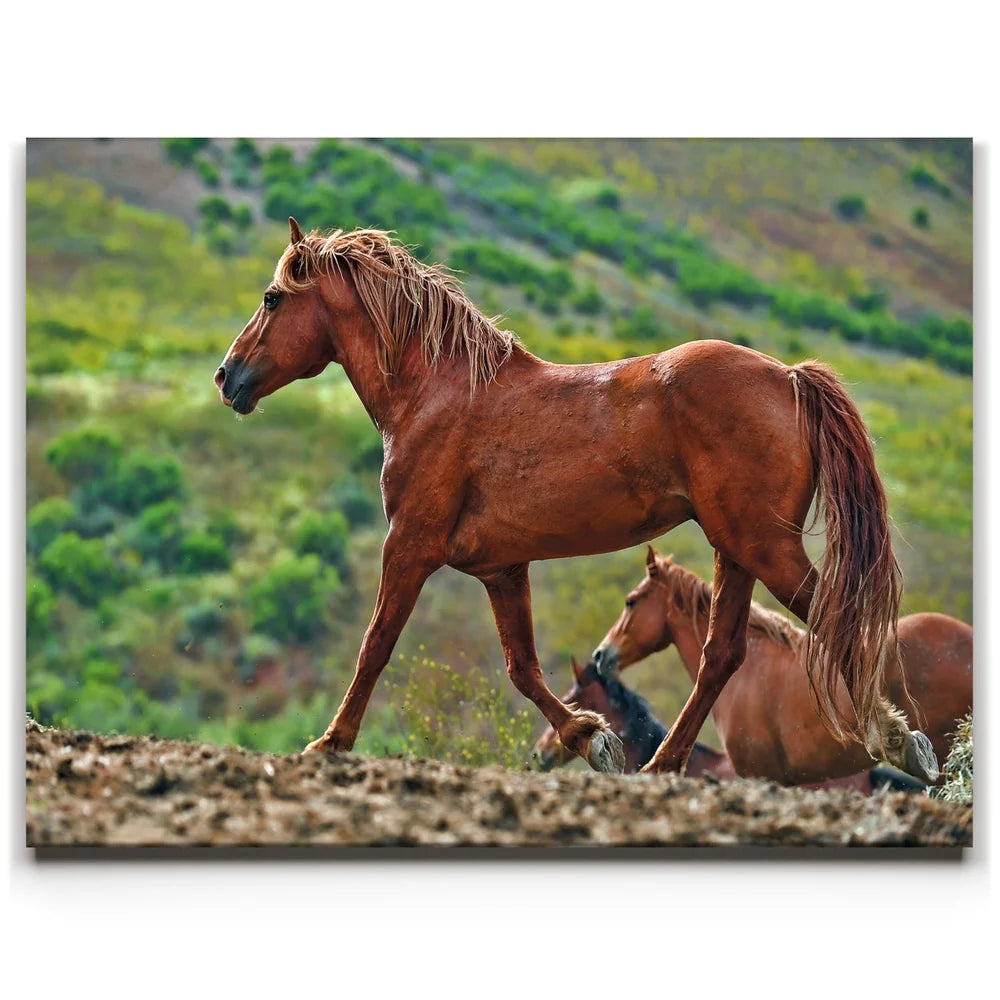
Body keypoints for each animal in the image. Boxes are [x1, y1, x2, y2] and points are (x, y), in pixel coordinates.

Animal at [214, 219, 937, 780]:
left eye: (272, 298)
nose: (227, 376)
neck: (434, 395)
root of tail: (788, 377)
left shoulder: (410, 547)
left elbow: (377, 645)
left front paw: (329, 742)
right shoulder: (502, 569)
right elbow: (524, 669)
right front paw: (593, 740)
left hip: (762, 546)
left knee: (836, 624)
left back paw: (900, 742)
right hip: (736, 551)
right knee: (722, 656)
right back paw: (662, 764)